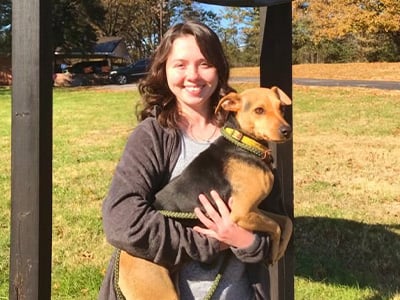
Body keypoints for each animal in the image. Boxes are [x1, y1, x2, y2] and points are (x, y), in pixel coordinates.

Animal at [115, 86, 294, 300]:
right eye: (259, 110)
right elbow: (276, 226)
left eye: (281, 108)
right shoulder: (241, 214)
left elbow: (286, 222)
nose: (287, 130)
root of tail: (124, 255)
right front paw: (275, 251)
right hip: (160, 292)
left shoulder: (254, 209)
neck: (244, 144)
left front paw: (279, 250)